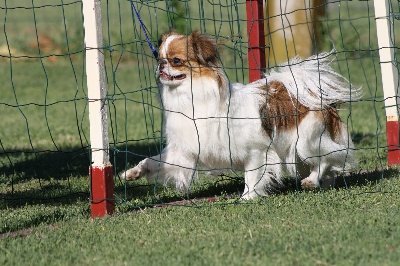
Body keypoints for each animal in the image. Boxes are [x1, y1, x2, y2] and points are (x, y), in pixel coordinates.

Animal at [122, 30, 360, 198]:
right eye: (159, 58)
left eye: (176, 60)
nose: (161, 65)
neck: (192, 96)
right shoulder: (184, 152)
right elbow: (153, 161)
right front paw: (133, 172)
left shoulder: (256, 150)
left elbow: (252, 175)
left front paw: (247, 197)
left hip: (305, 142)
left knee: (329, 157)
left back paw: (312, 180)